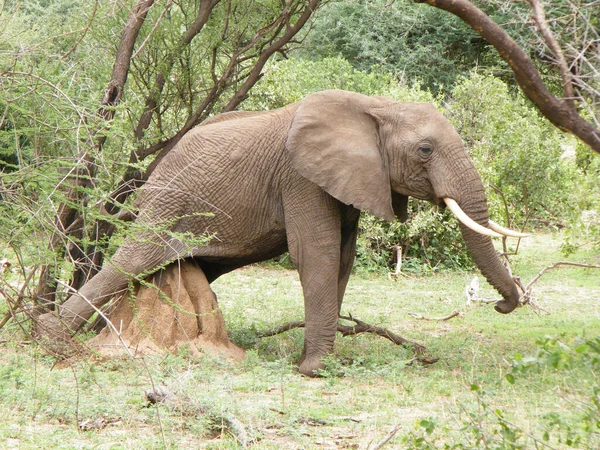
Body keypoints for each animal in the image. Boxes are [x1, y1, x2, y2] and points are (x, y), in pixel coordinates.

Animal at [36, 89, 524, 376]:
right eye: (425, 150)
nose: (503, 304)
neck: (378, 104)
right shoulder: (301, 177)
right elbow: (316, 253)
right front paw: (316, 370)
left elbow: (342, 256)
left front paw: (312, 361)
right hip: (169, 201)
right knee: (136, 257)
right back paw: (50, 338)